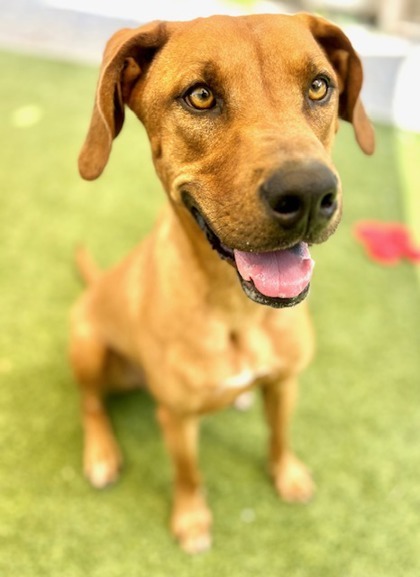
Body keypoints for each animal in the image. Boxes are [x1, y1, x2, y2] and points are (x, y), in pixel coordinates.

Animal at [71, 12, 374, 552]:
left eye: (319, 86)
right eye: (200, 95)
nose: (309, 193)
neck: (239, 312)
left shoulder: (286, 382)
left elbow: (280, 436)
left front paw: (287, 475)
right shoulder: (177, 419)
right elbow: (189, 474)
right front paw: (192, 520)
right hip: (86, 346)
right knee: (90, 404)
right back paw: (101, 452)